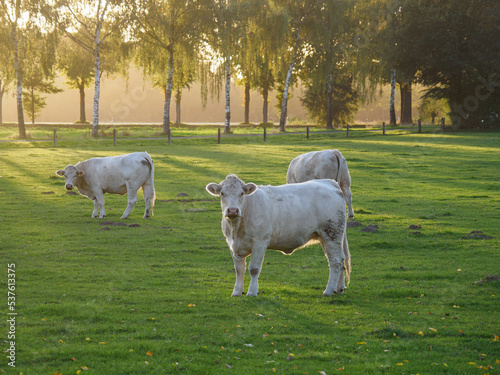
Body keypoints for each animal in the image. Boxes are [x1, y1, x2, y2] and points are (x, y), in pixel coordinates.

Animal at [205, 175, 350, 298]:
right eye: (222, 193)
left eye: (241, 193)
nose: (233, 210)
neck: (237, 229)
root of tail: (328, 182)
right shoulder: (232, 244)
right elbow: (239, 269)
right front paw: (236, 292)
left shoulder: (260, 242)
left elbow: (254, 269)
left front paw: (252, 292)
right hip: (326, 237)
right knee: (340, 259)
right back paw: (338, 289)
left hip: (332, 234)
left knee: (335, 261)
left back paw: (329, 290)